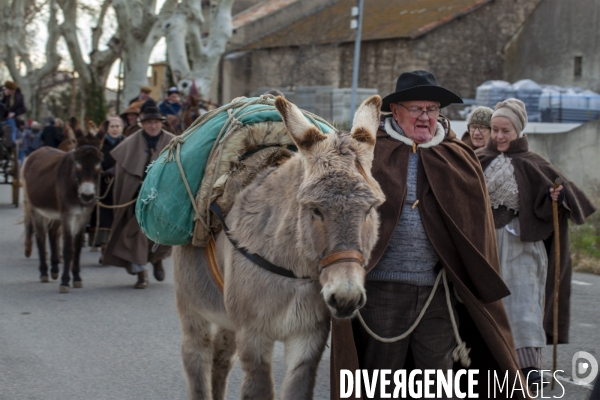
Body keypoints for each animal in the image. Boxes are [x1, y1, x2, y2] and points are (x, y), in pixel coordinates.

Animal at [22, 126, 103, 294]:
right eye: (77, 162)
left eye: (99, 162)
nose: (87, 195)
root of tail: (38, 150)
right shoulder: (68, 215)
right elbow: (67, 248)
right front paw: (65, 282)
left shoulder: (83, 216)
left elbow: (76, 247)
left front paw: (77, 278)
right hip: (35, 209)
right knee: (40, 236)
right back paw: (44, 272)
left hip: (56, 213)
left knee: (52, 233)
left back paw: (54, 270)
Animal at [172, 95, 384, 398]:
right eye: (315, 209)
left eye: (369, 209)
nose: (346, 298)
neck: (293, 270)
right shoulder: (254, 336)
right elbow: (258, 389)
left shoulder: (308, 337)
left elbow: (297, 389)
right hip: (191, 307)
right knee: (195, 357)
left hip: (227, 318)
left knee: (221, 358)